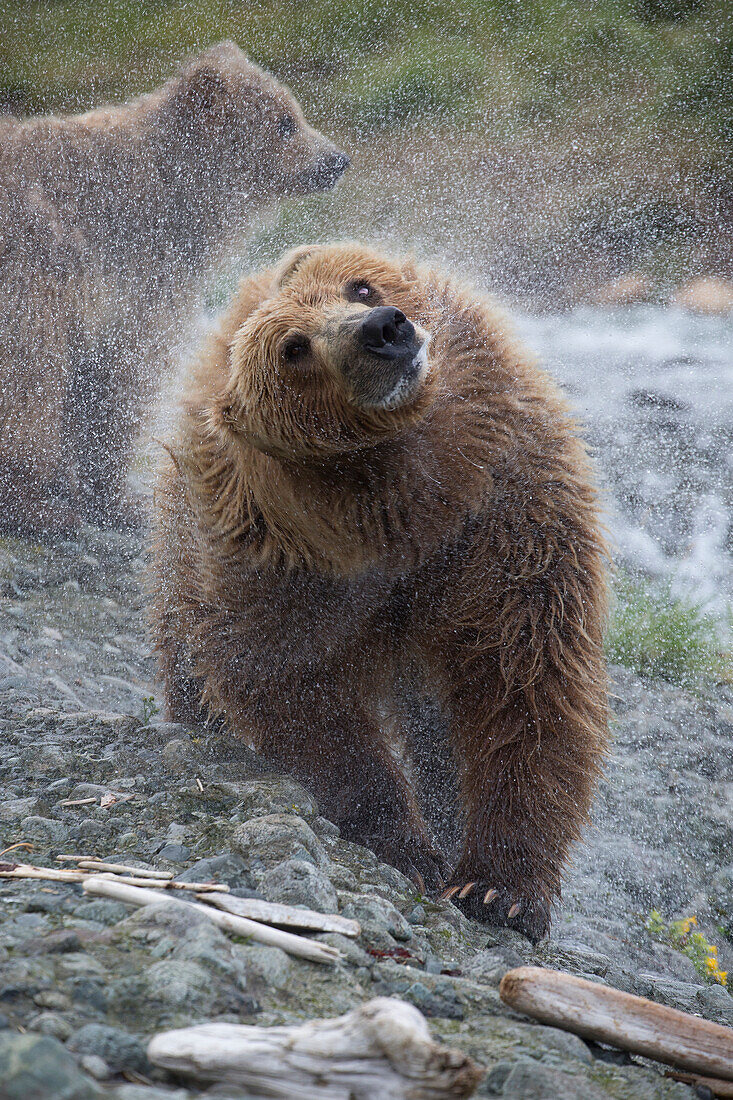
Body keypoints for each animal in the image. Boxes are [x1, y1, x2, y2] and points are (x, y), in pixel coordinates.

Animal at [0, 42, 347, 536]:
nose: (337, 160)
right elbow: (110, 373)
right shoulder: (117, 269)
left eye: (295, 110)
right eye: (284, 121)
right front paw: (105, 498)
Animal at [150, 245, 607, 941]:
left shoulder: (503, 519)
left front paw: (499, 887)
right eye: (294, 348)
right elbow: (293, 689)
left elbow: (524, 677)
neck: (403, 511)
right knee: (185, 635)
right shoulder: (281, 568)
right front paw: (409, 847)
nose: (383, 329)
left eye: (359, 285)